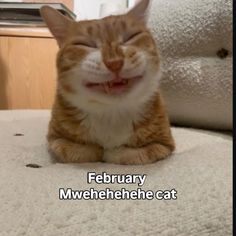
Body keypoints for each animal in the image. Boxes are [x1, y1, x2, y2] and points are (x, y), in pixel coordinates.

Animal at [39, 0, 174, 165]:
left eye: (131, 37)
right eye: (84, 44)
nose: (114, 62)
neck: (112, 113)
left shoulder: (164, 144)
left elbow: (133, 154)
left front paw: (114, 152)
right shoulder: (55, 140)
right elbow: (80, 152)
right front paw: (98, 150)